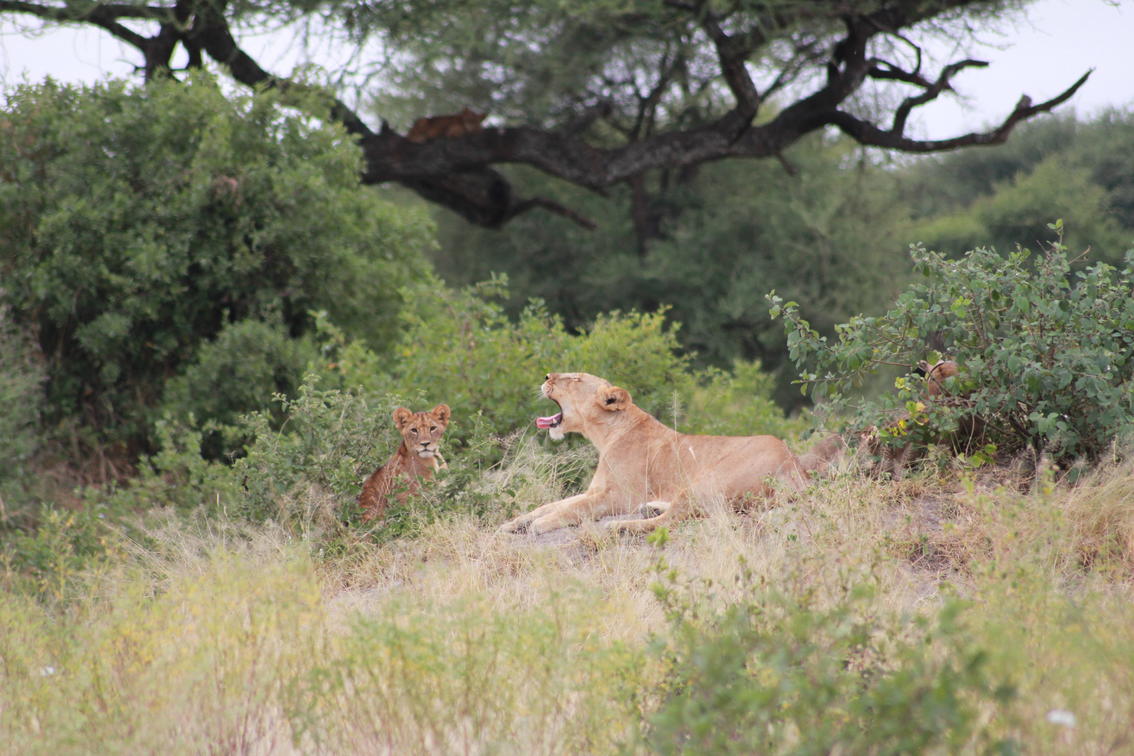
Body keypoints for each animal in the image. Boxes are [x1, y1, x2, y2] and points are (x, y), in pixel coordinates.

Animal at [498, 373, 806, 535]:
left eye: (575, 379)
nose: (546, 376)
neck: (605, 436)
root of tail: (793, 464)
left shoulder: (622, 496)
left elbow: (574, 508)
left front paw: (540, 524)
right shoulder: (595, 490)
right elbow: (552, 504)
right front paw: (513, 523)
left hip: (705, 481)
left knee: (669, 521)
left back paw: (620, 526)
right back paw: (652, 507)